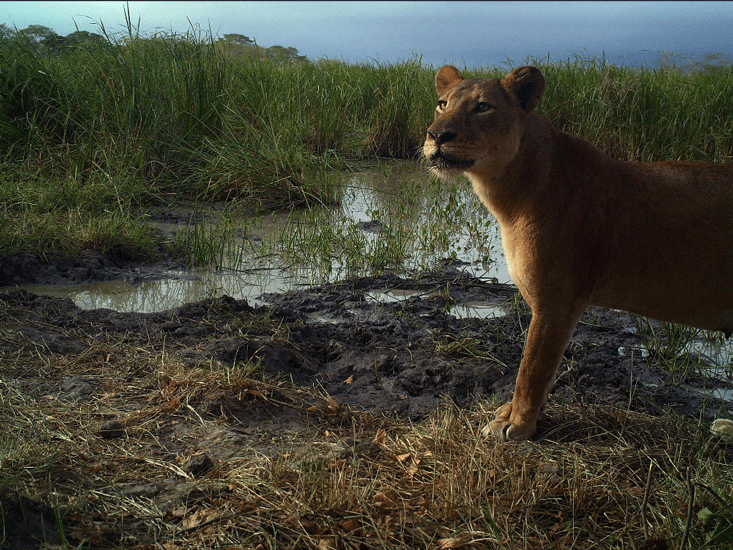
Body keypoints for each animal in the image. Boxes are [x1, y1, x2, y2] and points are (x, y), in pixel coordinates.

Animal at [423, 64, 733, 441]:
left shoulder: (556, 301)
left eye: (483, 107)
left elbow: (531, 368)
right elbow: (547, 369)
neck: (509, 191)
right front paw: (520, 416)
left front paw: (517, 425)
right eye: (442, 103)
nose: (436, 135)